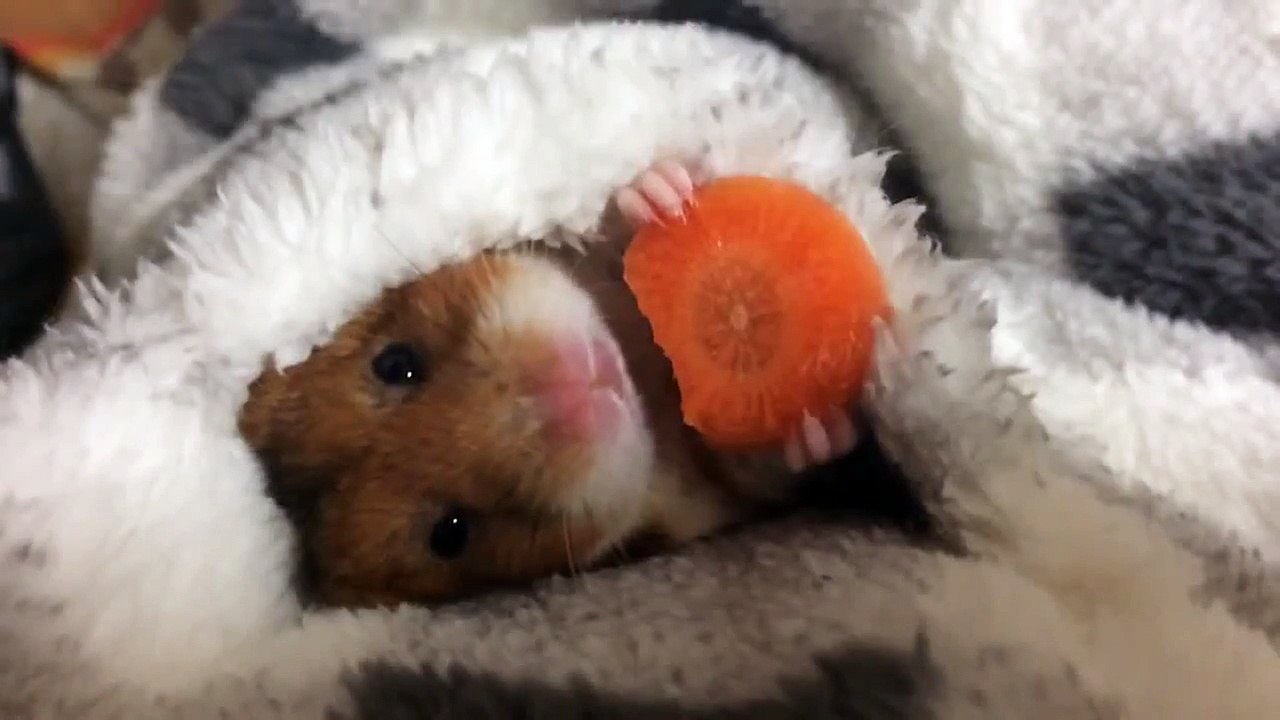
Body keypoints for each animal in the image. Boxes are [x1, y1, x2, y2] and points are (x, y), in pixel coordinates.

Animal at [238, 161, 859, 608]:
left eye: (395, 364)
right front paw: (815, 429)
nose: (576, 385)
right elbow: (763, 465)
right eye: (450, 533)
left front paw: (660, 195)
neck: (650, 395)